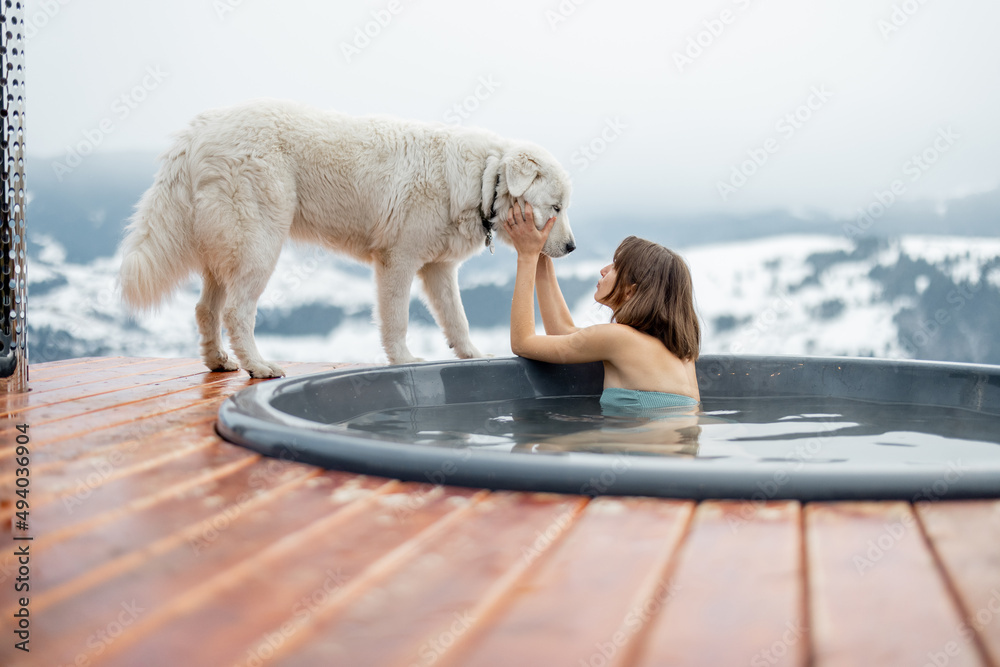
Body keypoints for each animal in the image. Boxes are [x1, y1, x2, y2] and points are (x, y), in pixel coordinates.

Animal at [118, 102, 576, 378]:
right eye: (556, 207)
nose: (572, 248)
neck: (483, 177)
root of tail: (197, 131)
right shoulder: (398, 261)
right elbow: (397, 320)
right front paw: (404, 360)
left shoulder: (438, 269)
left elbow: (456, 320)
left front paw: (474, 356)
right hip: (260, 245)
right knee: (236, 312)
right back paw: (260, 366)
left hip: (225, 252)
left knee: (204, 310)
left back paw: (219, 361)